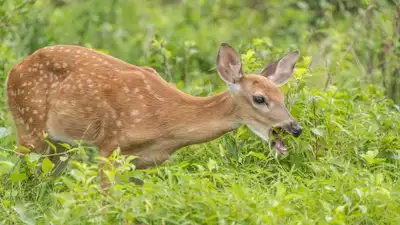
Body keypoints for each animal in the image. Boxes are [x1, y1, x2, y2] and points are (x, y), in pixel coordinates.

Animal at [6, 43, 302, 187]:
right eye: (259, 98)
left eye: (282, 97)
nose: (294, 127)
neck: (163, 122)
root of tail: (13, 69)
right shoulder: (110, 146)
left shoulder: (140, 161)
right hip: (28, 123)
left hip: (61, 144)